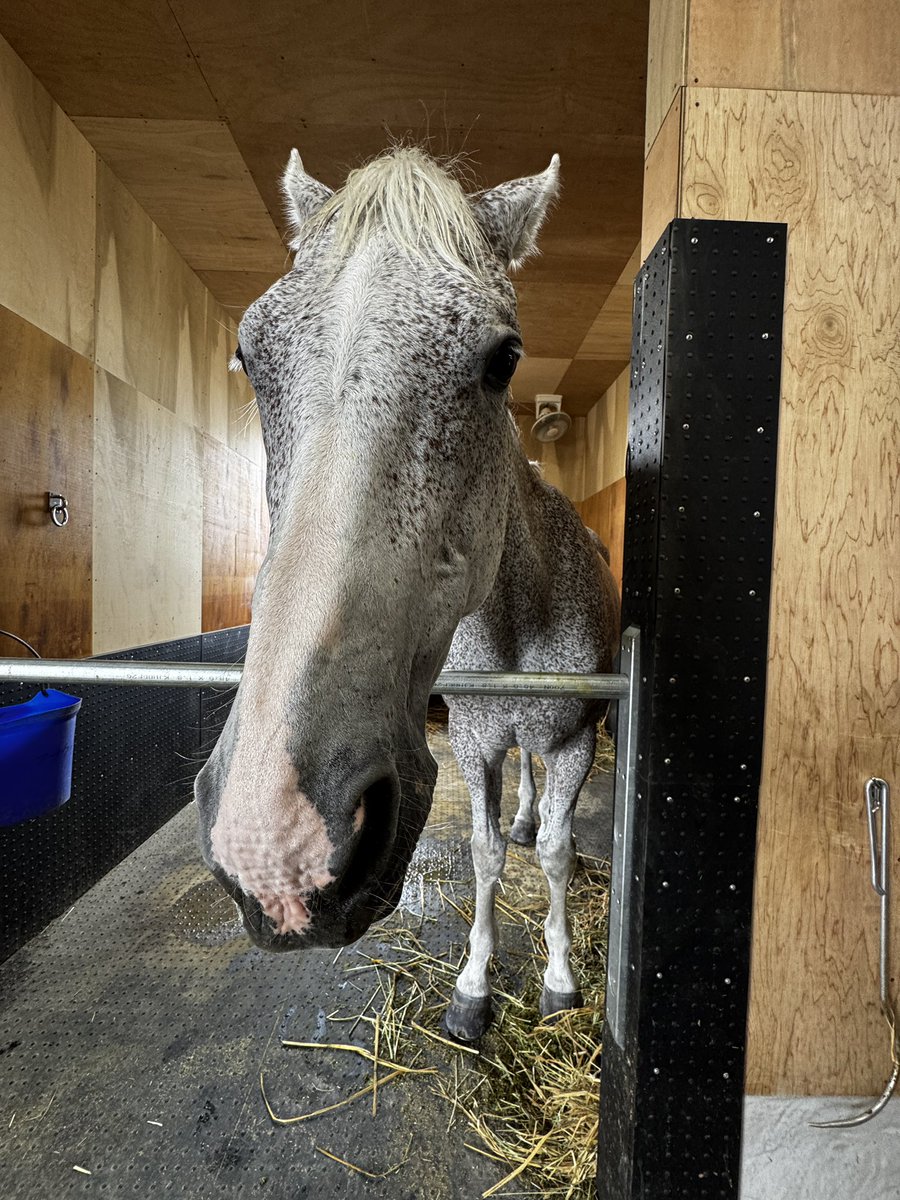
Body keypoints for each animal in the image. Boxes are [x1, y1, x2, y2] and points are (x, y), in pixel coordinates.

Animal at [192, 145, 619, 1041]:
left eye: (504, 359)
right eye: (250, 355)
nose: (275, 839)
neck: (516, 619)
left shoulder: (574, 743)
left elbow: (558, 854)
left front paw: (560, 981)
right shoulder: (476, 743)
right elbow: (488, 855)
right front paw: (474, 989)